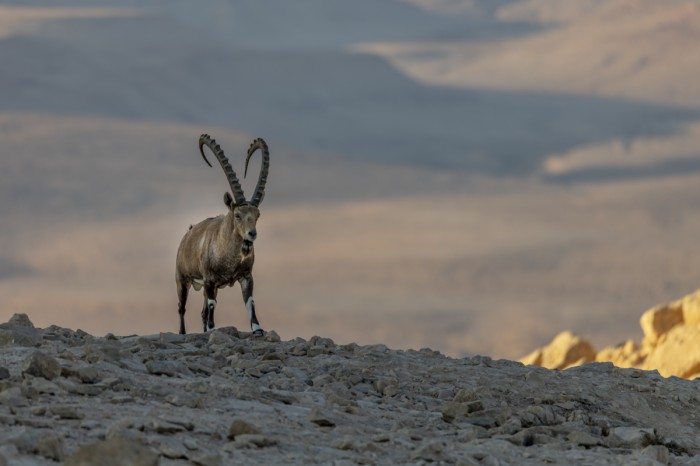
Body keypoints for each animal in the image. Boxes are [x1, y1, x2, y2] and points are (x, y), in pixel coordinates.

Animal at [176, 134, 270, 334]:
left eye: (257, 215)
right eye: (238, 215)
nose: (252, 234)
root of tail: (187, 233)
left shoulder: (246, 276)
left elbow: (250, 302)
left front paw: (257, 328)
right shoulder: (210, 279)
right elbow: (213, 305)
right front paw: (212, 328)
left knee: (202, 311)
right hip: (182, 279)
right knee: (182, 307)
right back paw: (183, 332)